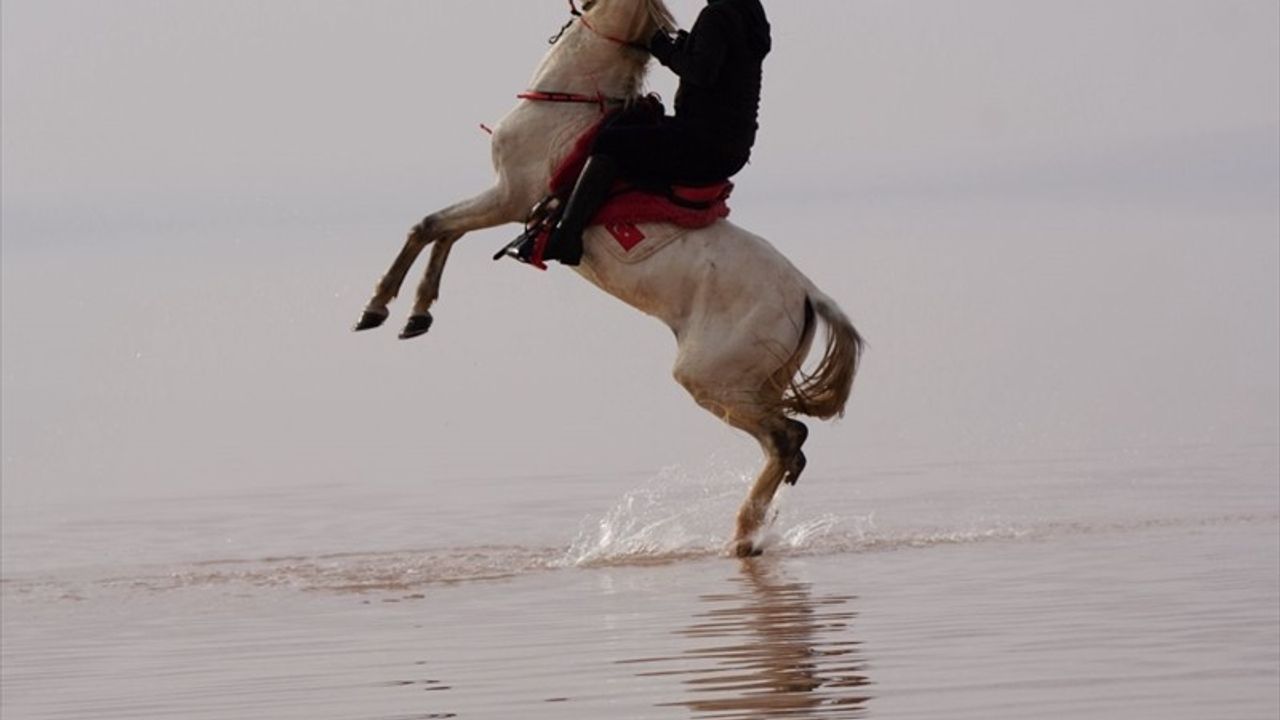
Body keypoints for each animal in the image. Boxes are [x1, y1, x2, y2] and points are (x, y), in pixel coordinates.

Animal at [355, 0, 865, 556]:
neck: (568, 99)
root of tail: (807, 294)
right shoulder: (505, 201)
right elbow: (443, 234)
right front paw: (416, 314)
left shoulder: (508, 197)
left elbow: (429, 226)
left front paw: (378, 307)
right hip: (752, 382)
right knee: (789, 446)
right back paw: (750, 533)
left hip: (711, 378)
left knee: (787, 438)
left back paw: (741, 537)